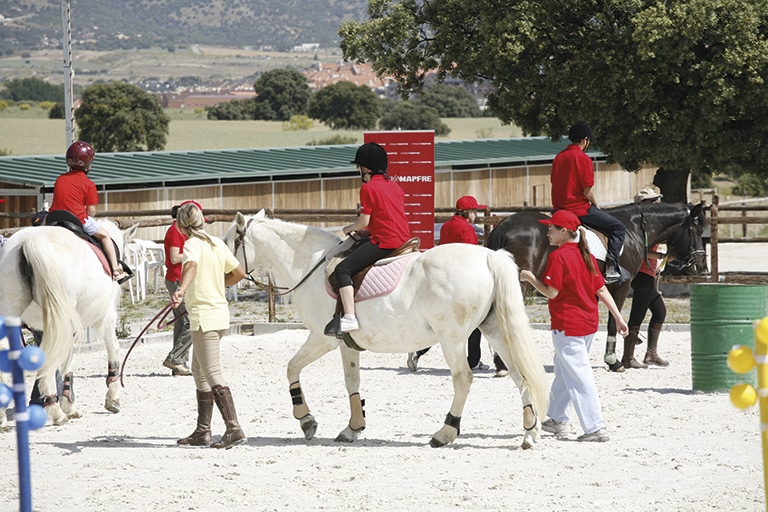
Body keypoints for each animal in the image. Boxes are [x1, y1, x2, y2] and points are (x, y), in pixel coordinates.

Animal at [0, 218, 136, 426]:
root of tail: (29, 242)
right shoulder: (104, 317)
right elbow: (112, 349)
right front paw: (111, 398)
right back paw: (57, 411)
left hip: (14, 312)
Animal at [225, 210, 548, 450]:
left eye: (229, 242)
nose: (225, 277)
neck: (309, 265)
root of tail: (488, 256)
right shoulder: (345, 344)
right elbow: (352, 382)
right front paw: (353, 427)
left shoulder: (321, 339)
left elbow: (292, 368)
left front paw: (306, 420)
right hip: (494, 330)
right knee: (520, 375)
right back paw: (530, 433)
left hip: (452, 339)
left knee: (463, 380)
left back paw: (444, 433)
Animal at [488, 203, 704, 372]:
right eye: (698, 231)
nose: (700, 265)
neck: (633, 228)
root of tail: (504, 225)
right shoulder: (621, 286)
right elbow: (613, 321)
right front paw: (614, 361)